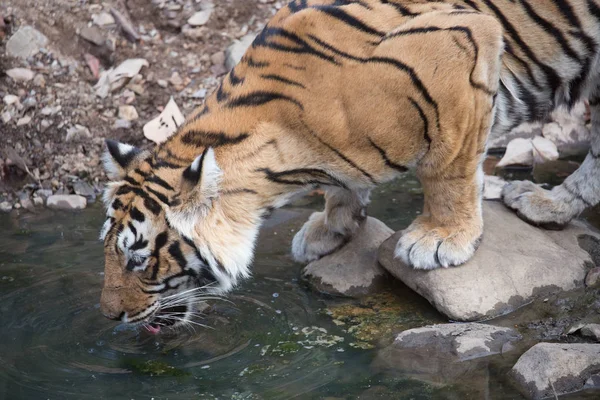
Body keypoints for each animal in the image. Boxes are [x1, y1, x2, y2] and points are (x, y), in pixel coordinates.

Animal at [98, 0, 600, 332]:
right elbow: (344, 185)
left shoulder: (461, 43)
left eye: (138, 259)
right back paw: (545, 204)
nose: (109, 315)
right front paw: (332, 227)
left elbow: (448, 170)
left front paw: (441, 238)